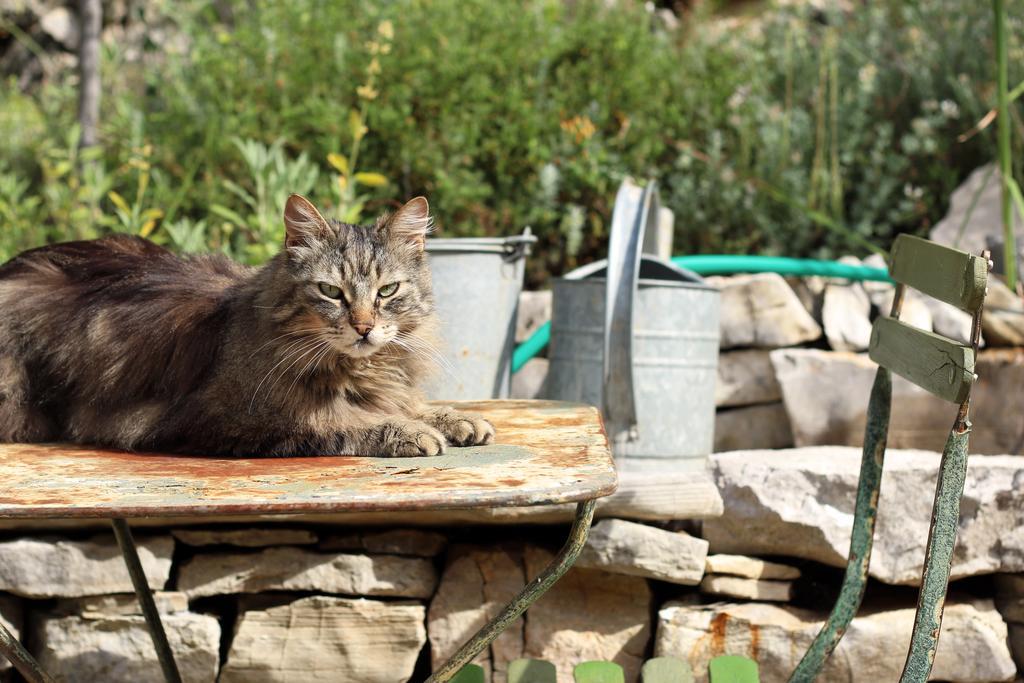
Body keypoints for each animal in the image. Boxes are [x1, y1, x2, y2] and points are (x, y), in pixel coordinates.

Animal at [0, 194, 495, 456]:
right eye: (331, 292)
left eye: (387, 291)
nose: (364, 327)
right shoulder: (225, 419)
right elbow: (338, 421)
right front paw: (410, 432)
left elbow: (411, 403)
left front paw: (457, 419)